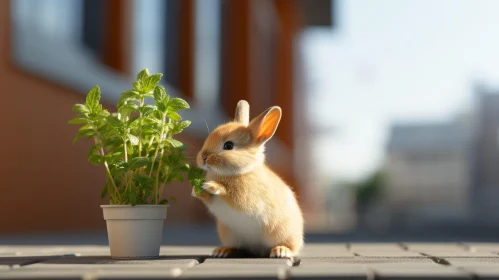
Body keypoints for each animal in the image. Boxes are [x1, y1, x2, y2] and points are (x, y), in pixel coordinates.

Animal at [192, 100, 304, 258]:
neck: (239, 172)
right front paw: (196, 190)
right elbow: (209, 199)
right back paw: (222, 251)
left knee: (292, 247)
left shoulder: (247, 198)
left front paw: (213, 186)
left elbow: (232, 195)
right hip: (230, 235)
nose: (203, 157)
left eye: (228, 145)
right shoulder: (214, 201)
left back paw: (281, 251)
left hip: (284, 232)